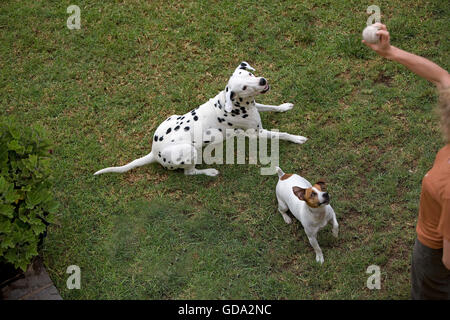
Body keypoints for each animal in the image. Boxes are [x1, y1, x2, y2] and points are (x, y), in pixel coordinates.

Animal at [93, 62, 308, 178]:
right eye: (244, 87)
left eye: (250, 74)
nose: (262, 81)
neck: (236, 105)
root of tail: (154, 153)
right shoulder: (258, 133)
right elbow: (282, 134)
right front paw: (297, 138)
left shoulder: (256, 108)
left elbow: (272, 106)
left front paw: (284, 106)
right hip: (189, 151)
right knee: (190, 172)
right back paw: (209, 171)